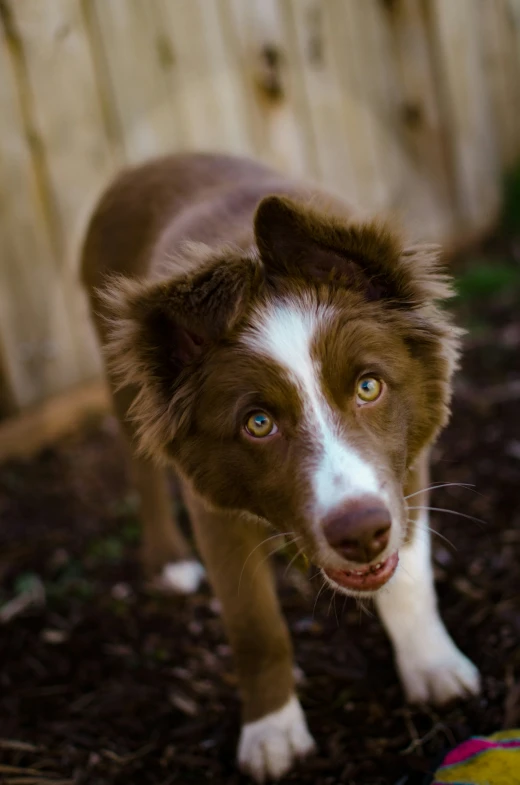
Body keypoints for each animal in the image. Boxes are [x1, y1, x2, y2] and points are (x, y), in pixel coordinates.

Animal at [81, 152, 480, 776]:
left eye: (369, 386)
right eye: (258, 423)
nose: (361, 534)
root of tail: (146, 164)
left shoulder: (405, 469)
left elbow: (410, 580)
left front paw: (434, 669)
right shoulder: (212, 509)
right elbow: (255, 627)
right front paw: (272, 732)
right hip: (122, 382)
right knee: (142, 470)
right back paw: (169, 561)